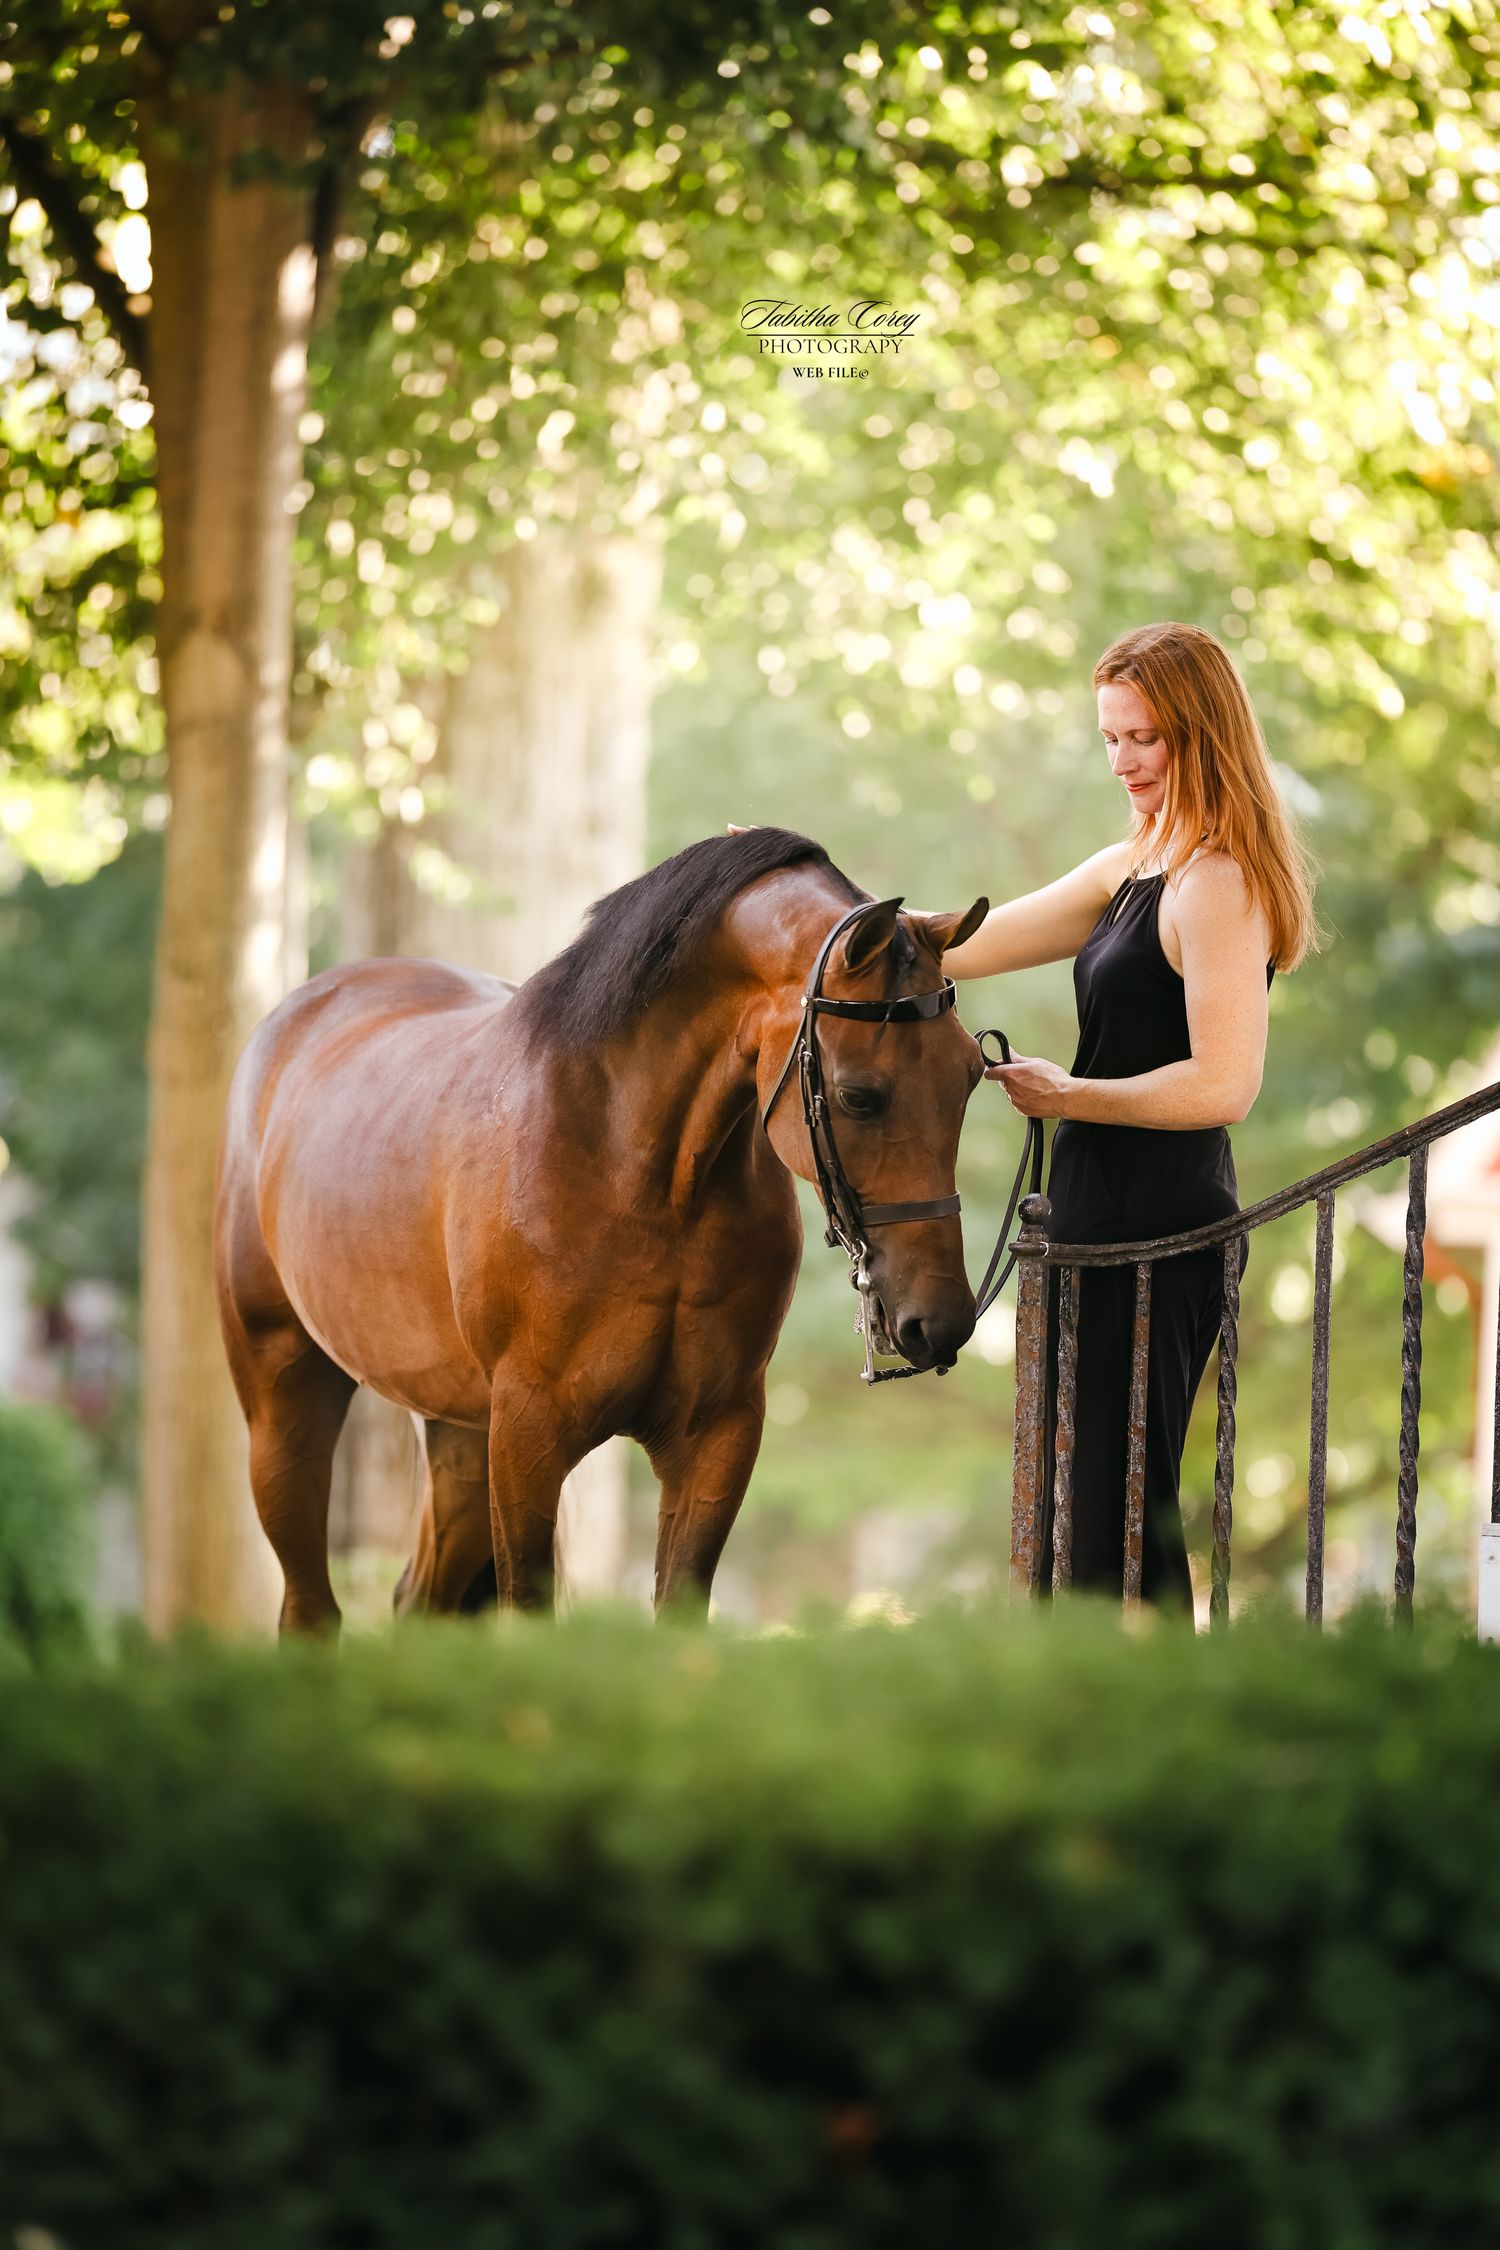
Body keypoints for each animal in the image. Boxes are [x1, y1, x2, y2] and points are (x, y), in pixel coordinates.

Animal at [213, 827, 989, 1631]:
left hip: (459, 1430)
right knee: (309, 1607)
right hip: (285, 1399)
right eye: (858, 1095)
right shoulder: (529, 1433)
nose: (943, 1319)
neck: (642, 1176)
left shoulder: (717, 1432)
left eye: (970, 1074)